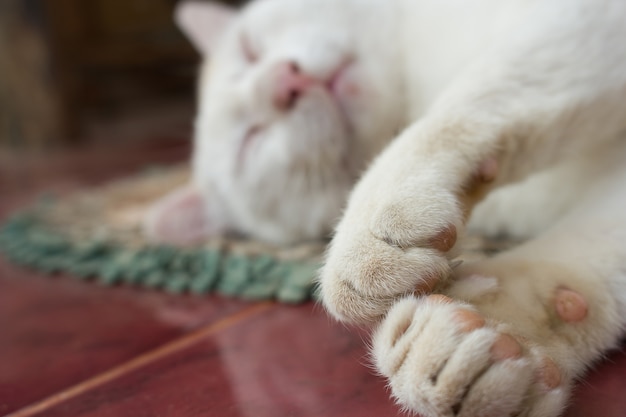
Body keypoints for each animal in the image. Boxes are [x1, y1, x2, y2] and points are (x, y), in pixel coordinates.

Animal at [145, 0, 624, 414]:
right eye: (251, 141)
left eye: (251, 49)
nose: (285, 82)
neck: (409, 85)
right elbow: (584, 258)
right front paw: (496, 331)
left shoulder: (580, 19)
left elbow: (465, 105)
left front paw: (377, 216)